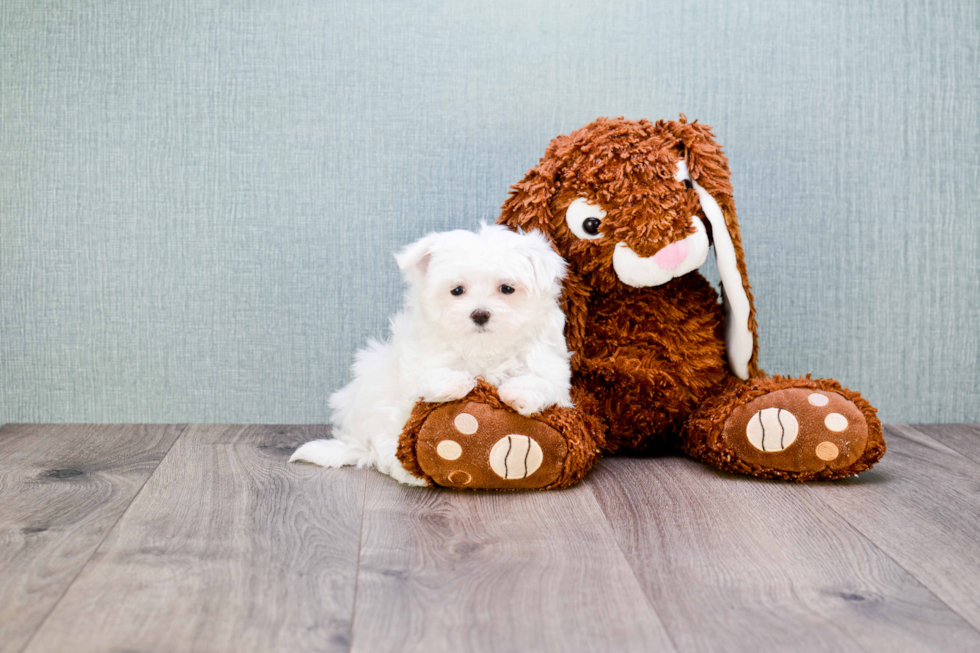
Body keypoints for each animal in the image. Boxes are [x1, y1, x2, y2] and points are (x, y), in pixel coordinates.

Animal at [288, 224, 576, 484]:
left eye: (507, 289)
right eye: (457, 290)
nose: (480, 313)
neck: (484, 349)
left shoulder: (554, 372)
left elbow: (543, 383)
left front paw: (518, 392)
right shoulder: (418, 363)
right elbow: (425, 378)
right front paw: (456, 382)